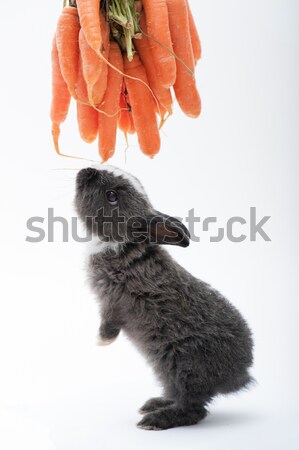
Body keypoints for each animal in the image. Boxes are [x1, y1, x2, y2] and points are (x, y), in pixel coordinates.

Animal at [75, 164, 255, 428]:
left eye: (112, 196)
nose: (85, 171)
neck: (123, 244)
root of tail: (240, 375)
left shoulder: (113, 301)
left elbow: (109, 323)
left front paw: (101, 341)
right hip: (167, 372)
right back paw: (155, 404)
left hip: (184, 367)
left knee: (193, 409)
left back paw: (154, 420)